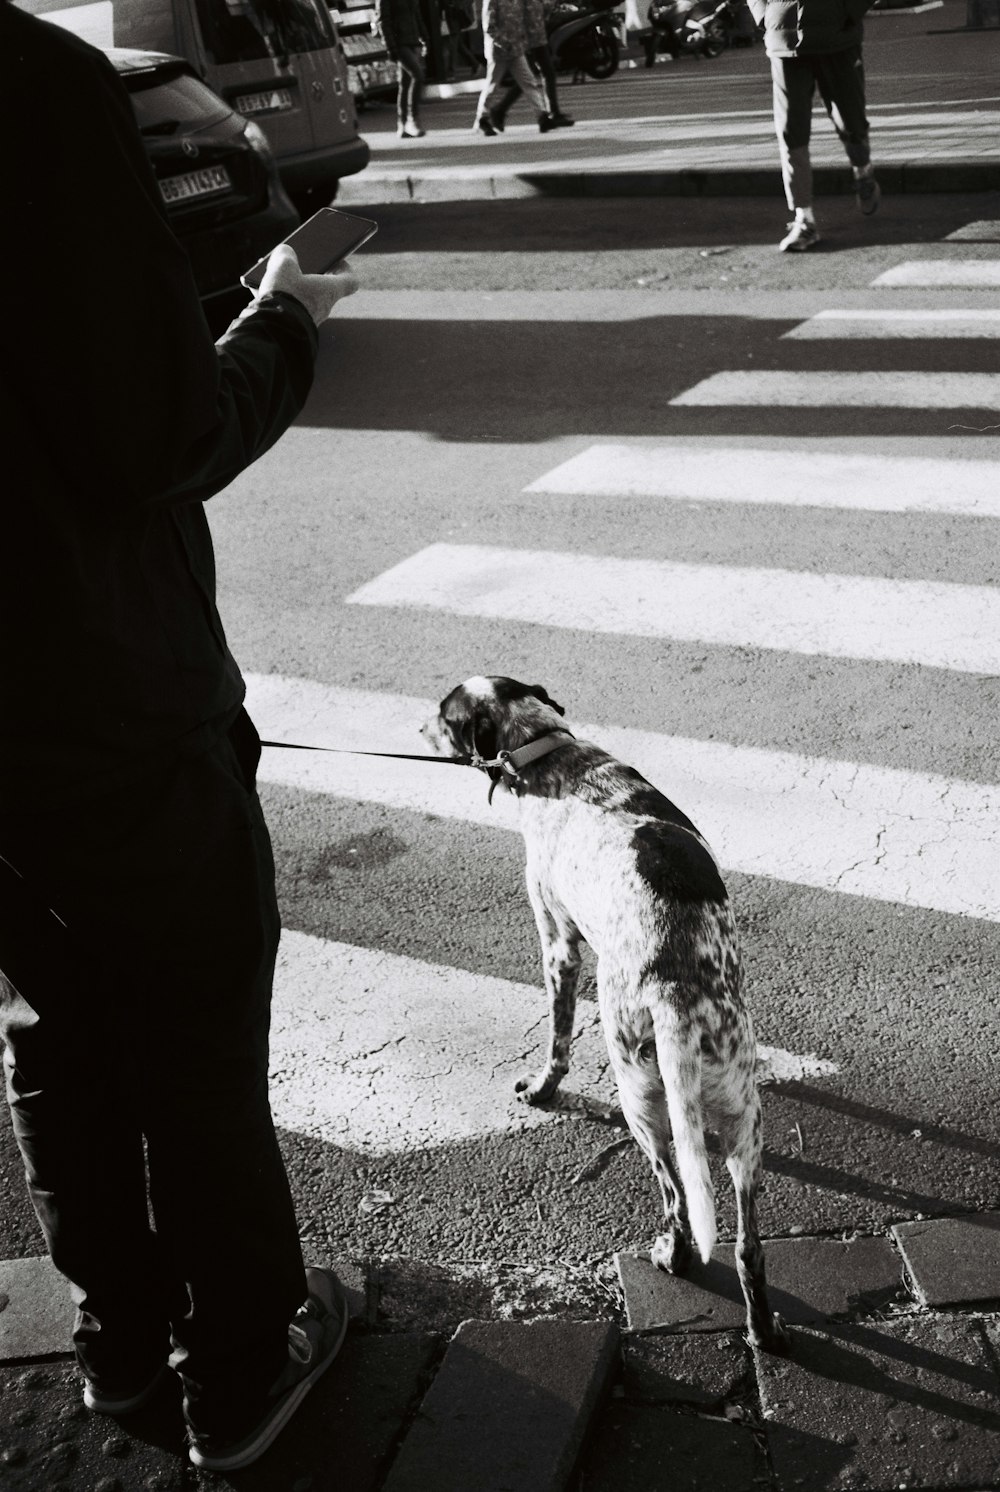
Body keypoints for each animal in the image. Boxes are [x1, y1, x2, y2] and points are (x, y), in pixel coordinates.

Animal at [423, 677, 794, 1354]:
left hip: (637, 1099)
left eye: (444, 716)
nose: (416, 728)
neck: (547, 755)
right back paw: (762, 1330)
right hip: (744, 1122)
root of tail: (675, 988)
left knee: (677, 1197)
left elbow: (558, 1038)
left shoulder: (558, 946)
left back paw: (672, 1255)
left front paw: (542, 1088)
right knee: (748, 1246)